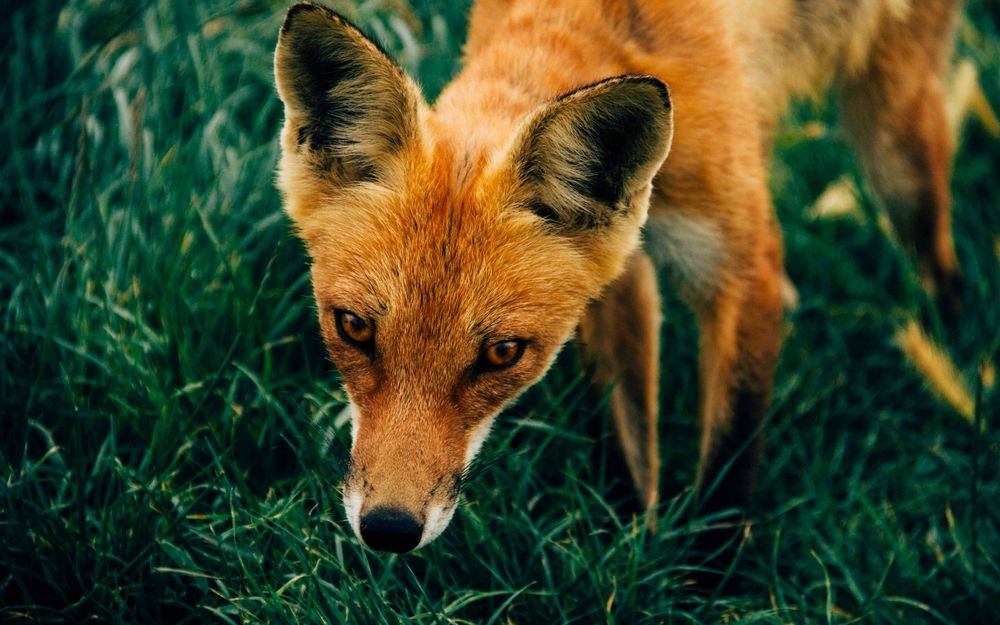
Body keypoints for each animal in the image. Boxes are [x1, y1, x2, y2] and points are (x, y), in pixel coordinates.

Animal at [273, 0, 962, 555]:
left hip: (895, 143)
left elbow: (730, 458)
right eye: (353, 327)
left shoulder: (738, 269)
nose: (388, 529)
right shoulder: (619, 278)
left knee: (937, 257)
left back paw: (952, 360)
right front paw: (632, 548)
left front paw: (708, 583)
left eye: (502, 354)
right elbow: (626, 440)